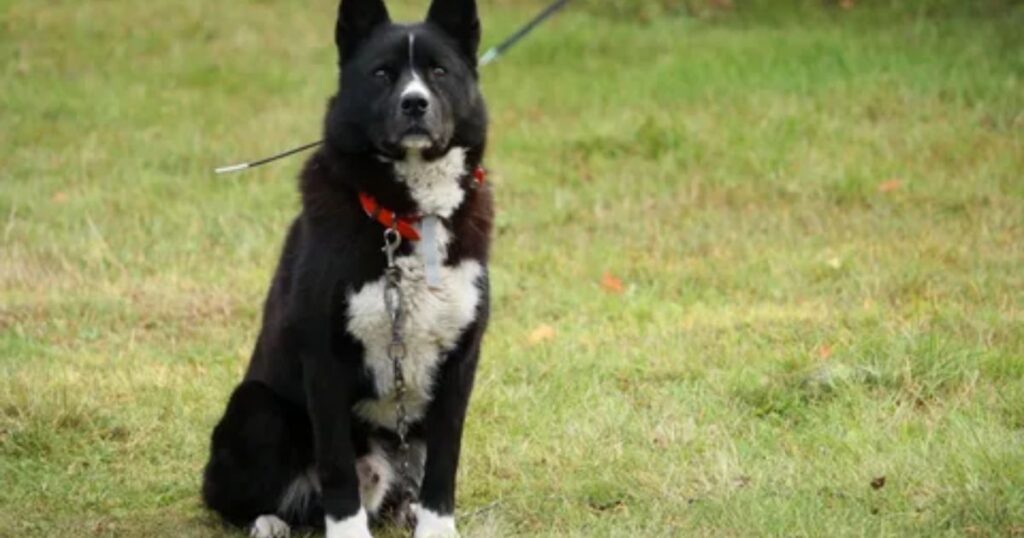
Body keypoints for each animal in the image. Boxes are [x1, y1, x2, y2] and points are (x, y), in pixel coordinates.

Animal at [203, 0, 491, 532]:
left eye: (439, 71)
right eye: (382, 74)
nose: (414, 104)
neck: (405, 218)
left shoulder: (460, 362)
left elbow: (445, 464)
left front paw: (436, 529)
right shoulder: (324, 360)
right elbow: (338, 471)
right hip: (256, 411)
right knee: (251, 498)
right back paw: (269, 522)